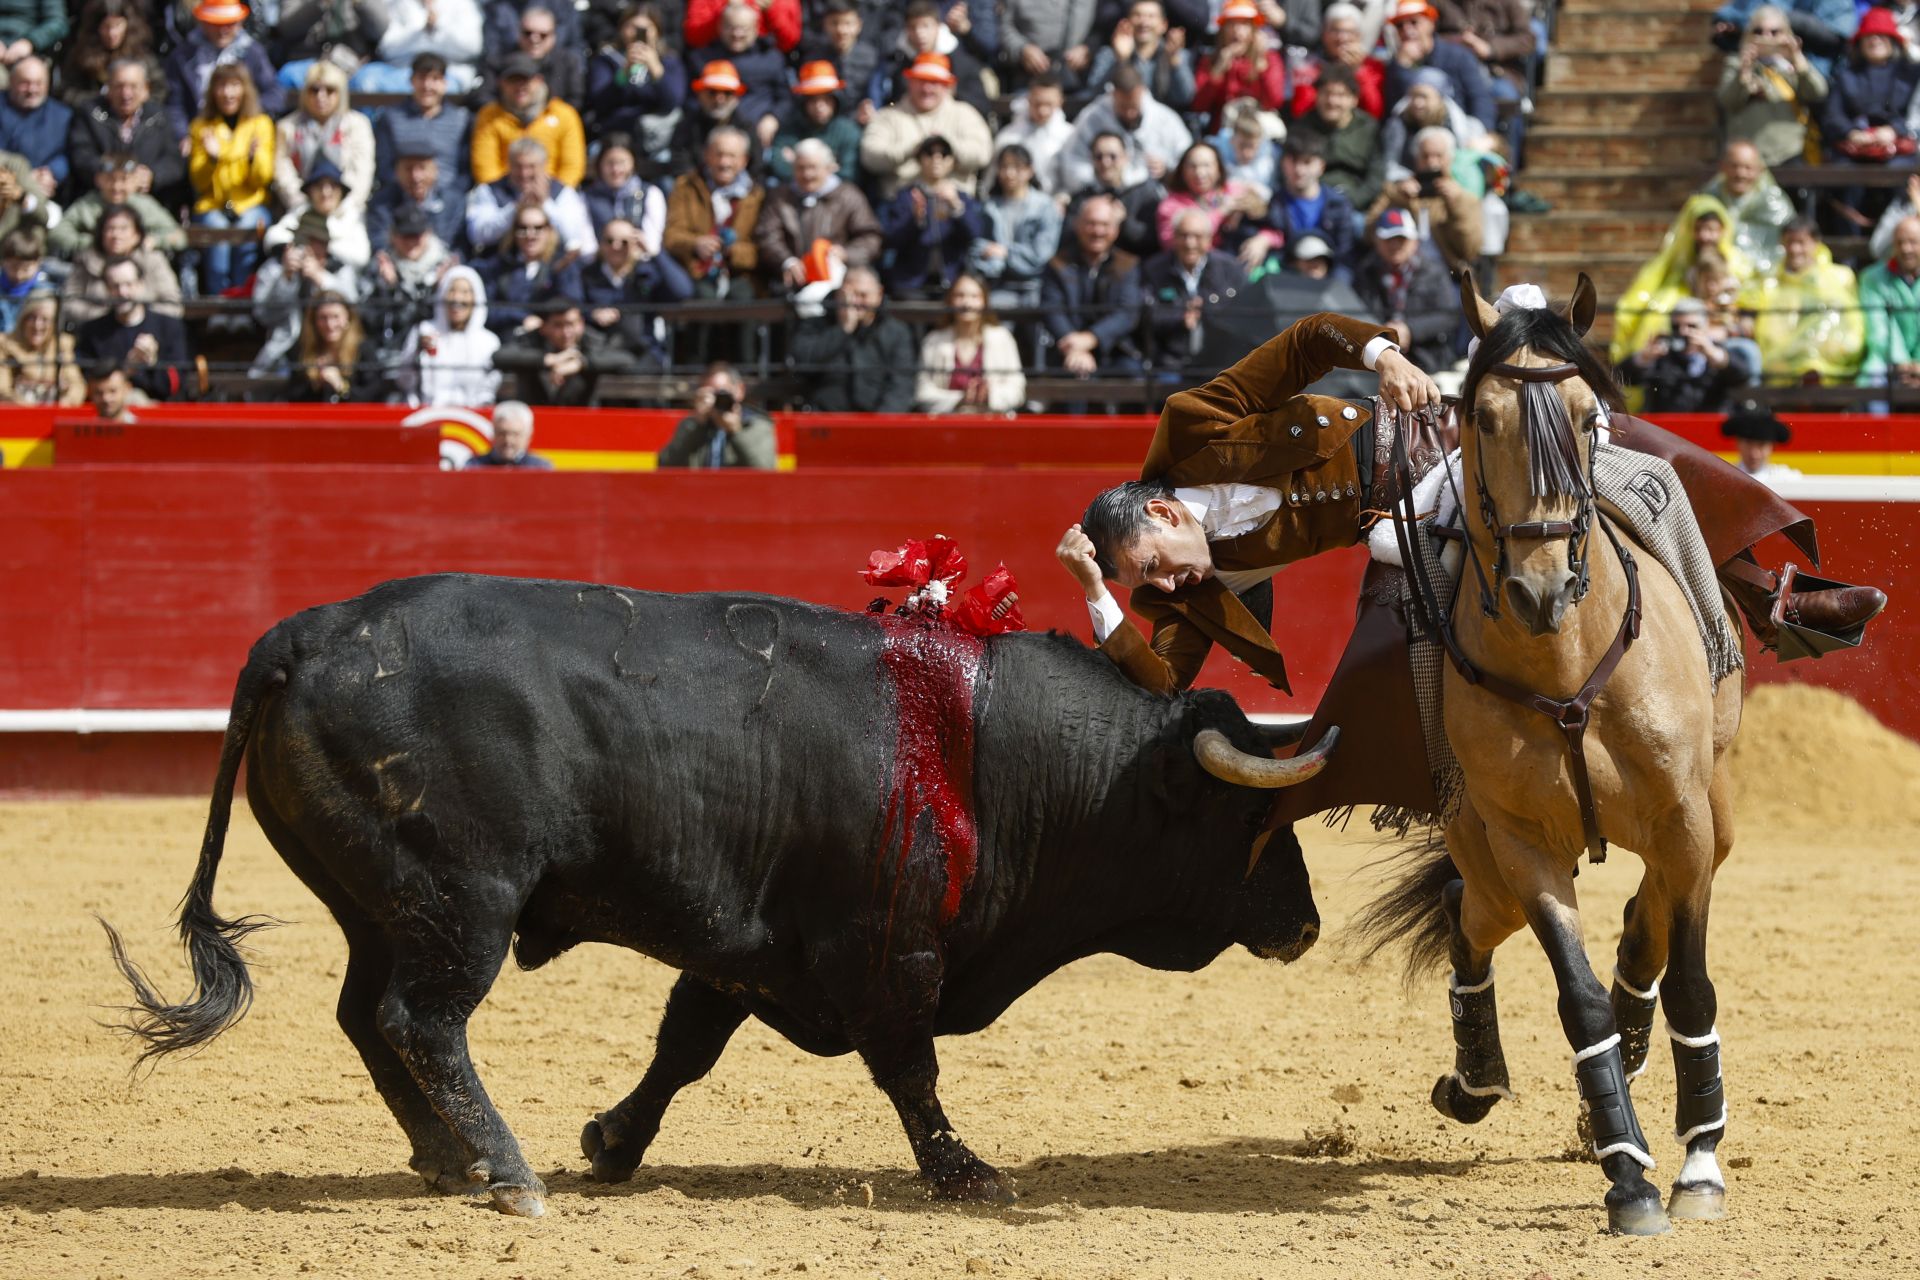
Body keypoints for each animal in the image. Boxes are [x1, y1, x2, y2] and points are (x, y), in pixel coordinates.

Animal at [108, 575, 1336, 1220]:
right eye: (1253, 822)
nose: (1309, 924)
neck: (996, 753)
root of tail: (300, 632)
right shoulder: (885, 949)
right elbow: (910, 1067)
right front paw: (965, 1172)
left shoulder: (747, 943)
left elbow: (685, 1044)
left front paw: (612, 1140)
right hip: (462, 900)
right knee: (423, 1019)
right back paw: (508, 1172)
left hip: (385, 906)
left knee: (368, 1016)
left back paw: (451, 1156)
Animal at [1359, 272, 1751, 1243]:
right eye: (1483, 417)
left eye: (1583, 416)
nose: (1540, 589)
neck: (1567, 670)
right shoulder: (1523, 843)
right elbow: (1579, 1002)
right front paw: (1628, 1176)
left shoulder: (1686, 820)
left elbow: (1692, 986)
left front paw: (1697, 1163)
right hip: (1487, 854)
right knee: (1468, 919)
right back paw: (1476, 1080)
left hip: (1707, 823)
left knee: (1647, 925)